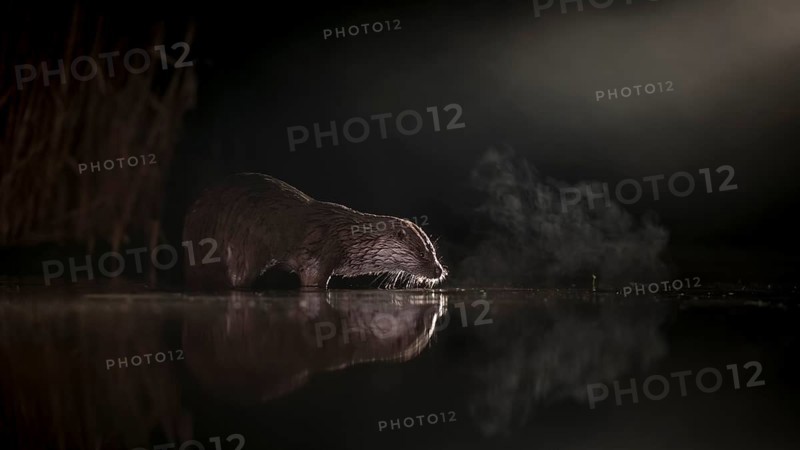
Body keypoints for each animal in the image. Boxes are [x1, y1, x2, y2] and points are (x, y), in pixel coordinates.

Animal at [182, 173, 447, 290]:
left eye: (433, 251)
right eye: (422, 254)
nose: (439, 270)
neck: (348, 237)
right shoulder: (319, 257)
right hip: (244, 245)